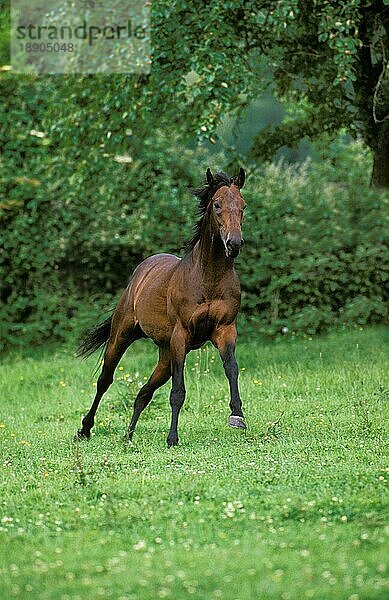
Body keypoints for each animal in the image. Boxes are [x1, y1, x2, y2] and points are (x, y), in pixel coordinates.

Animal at [74, 166, 247, 448]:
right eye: (217, 205)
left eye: (243, 205)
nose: (234, 243)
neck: (207, 278)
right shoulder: (181, 336)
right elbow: (178, 391)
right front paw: (172, 438)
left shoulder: (225, 329)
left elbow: (231, 369)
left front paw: (237, 416)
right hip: (122, 335)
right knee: (104, 381)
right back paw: (85, 430)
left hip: (165, 355)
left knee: (143, 392)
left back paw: (128, 436)